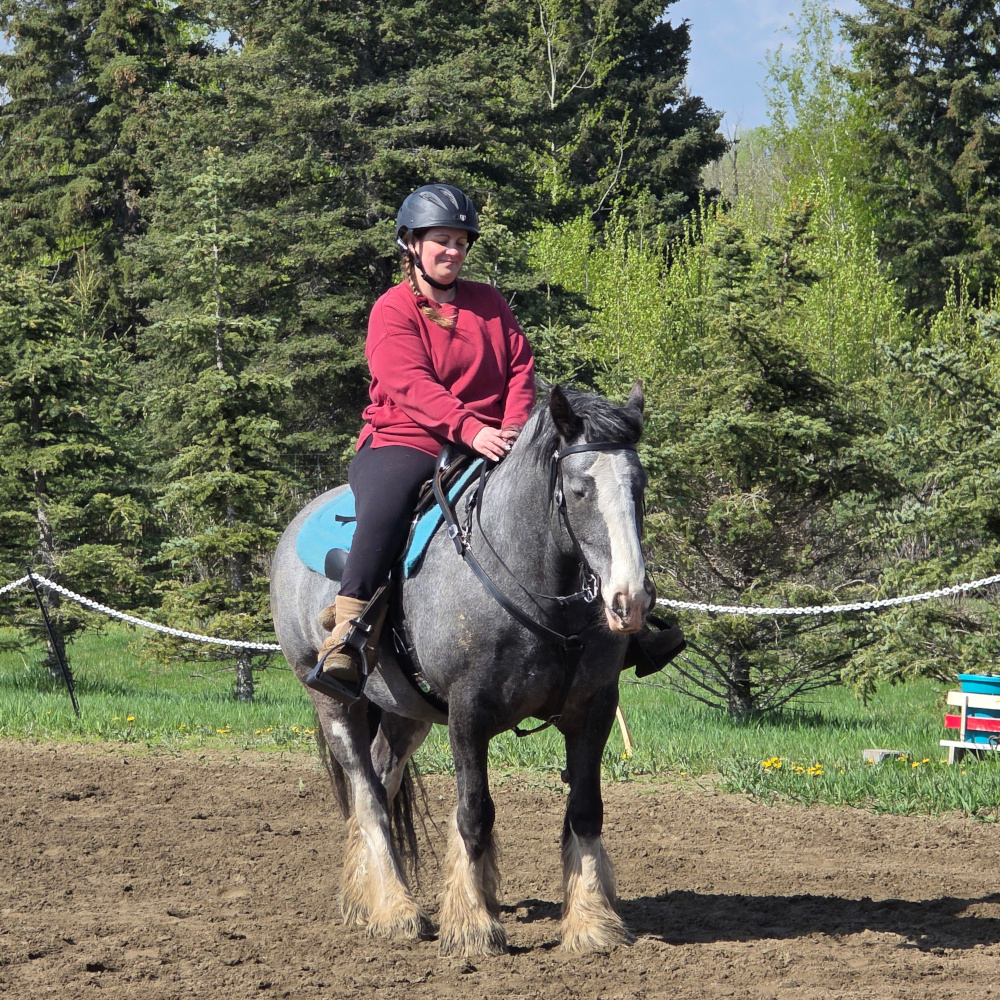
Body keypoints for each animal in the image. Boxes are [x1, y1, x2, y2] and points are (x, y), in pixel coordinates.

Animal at [269, 382, 653, 956]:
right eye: (581, 490)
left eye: (640, 487)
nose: (630, 600)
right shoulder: (469, 713)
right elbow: (473, 812)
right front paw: (473, 924)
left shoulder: (594, 708)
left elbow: (585, 809)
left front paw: (590, 922)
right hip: (334, 704)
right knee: (368, 796)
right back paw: (396, 910)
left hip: (406, 713)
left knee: (382, 780)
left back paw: (368, 897)